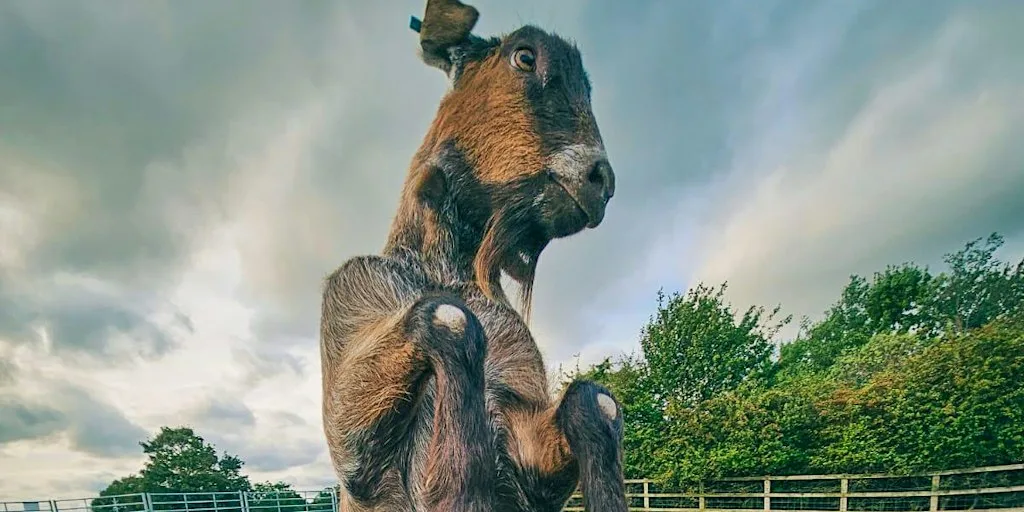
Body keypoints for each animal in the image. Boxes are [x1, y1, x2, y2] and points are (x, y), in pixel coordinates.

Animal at [320, 1, 623, 510]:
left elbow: (594, 402)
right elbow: (452, 318)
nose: (600, 181)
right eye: (524, 57)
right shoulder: (352, 436)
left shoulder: (524, 439)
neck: (447, 270)